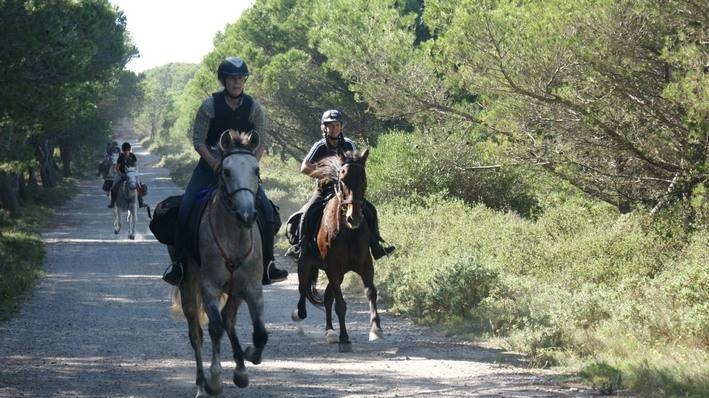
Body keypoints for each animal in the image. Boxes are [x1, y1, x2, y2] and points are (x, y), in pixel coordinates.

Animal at [170, 131, 266, 398]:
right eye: (226, 171)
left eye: (256, 170)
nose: (247, 215)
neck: (234, 235)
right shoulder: (209, 286)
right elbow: (214, 328)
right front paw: (214, 380)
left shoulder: (252, 287)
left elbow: (260, 332)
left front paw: (250, 355)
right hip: (188, 286)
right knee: (197, 333)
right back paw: (201, 385)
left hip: (235, 290)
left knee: (229, 318)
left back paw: (241, 370)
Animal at [292, 148, 384, 352]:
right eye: (342, 181)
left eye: (364, 180)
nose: (353, 218)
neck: (347, 232)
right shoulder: (333, 268)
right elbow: (341, 304)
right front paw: (345, 339)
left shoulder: (365, 265)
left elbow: (371, 292)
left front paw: (376, 330)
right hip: (306, 264)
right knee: (303, 289)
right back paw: (299, 315)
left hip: (339, 273)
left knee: (327, 298)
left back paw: (330, 332)